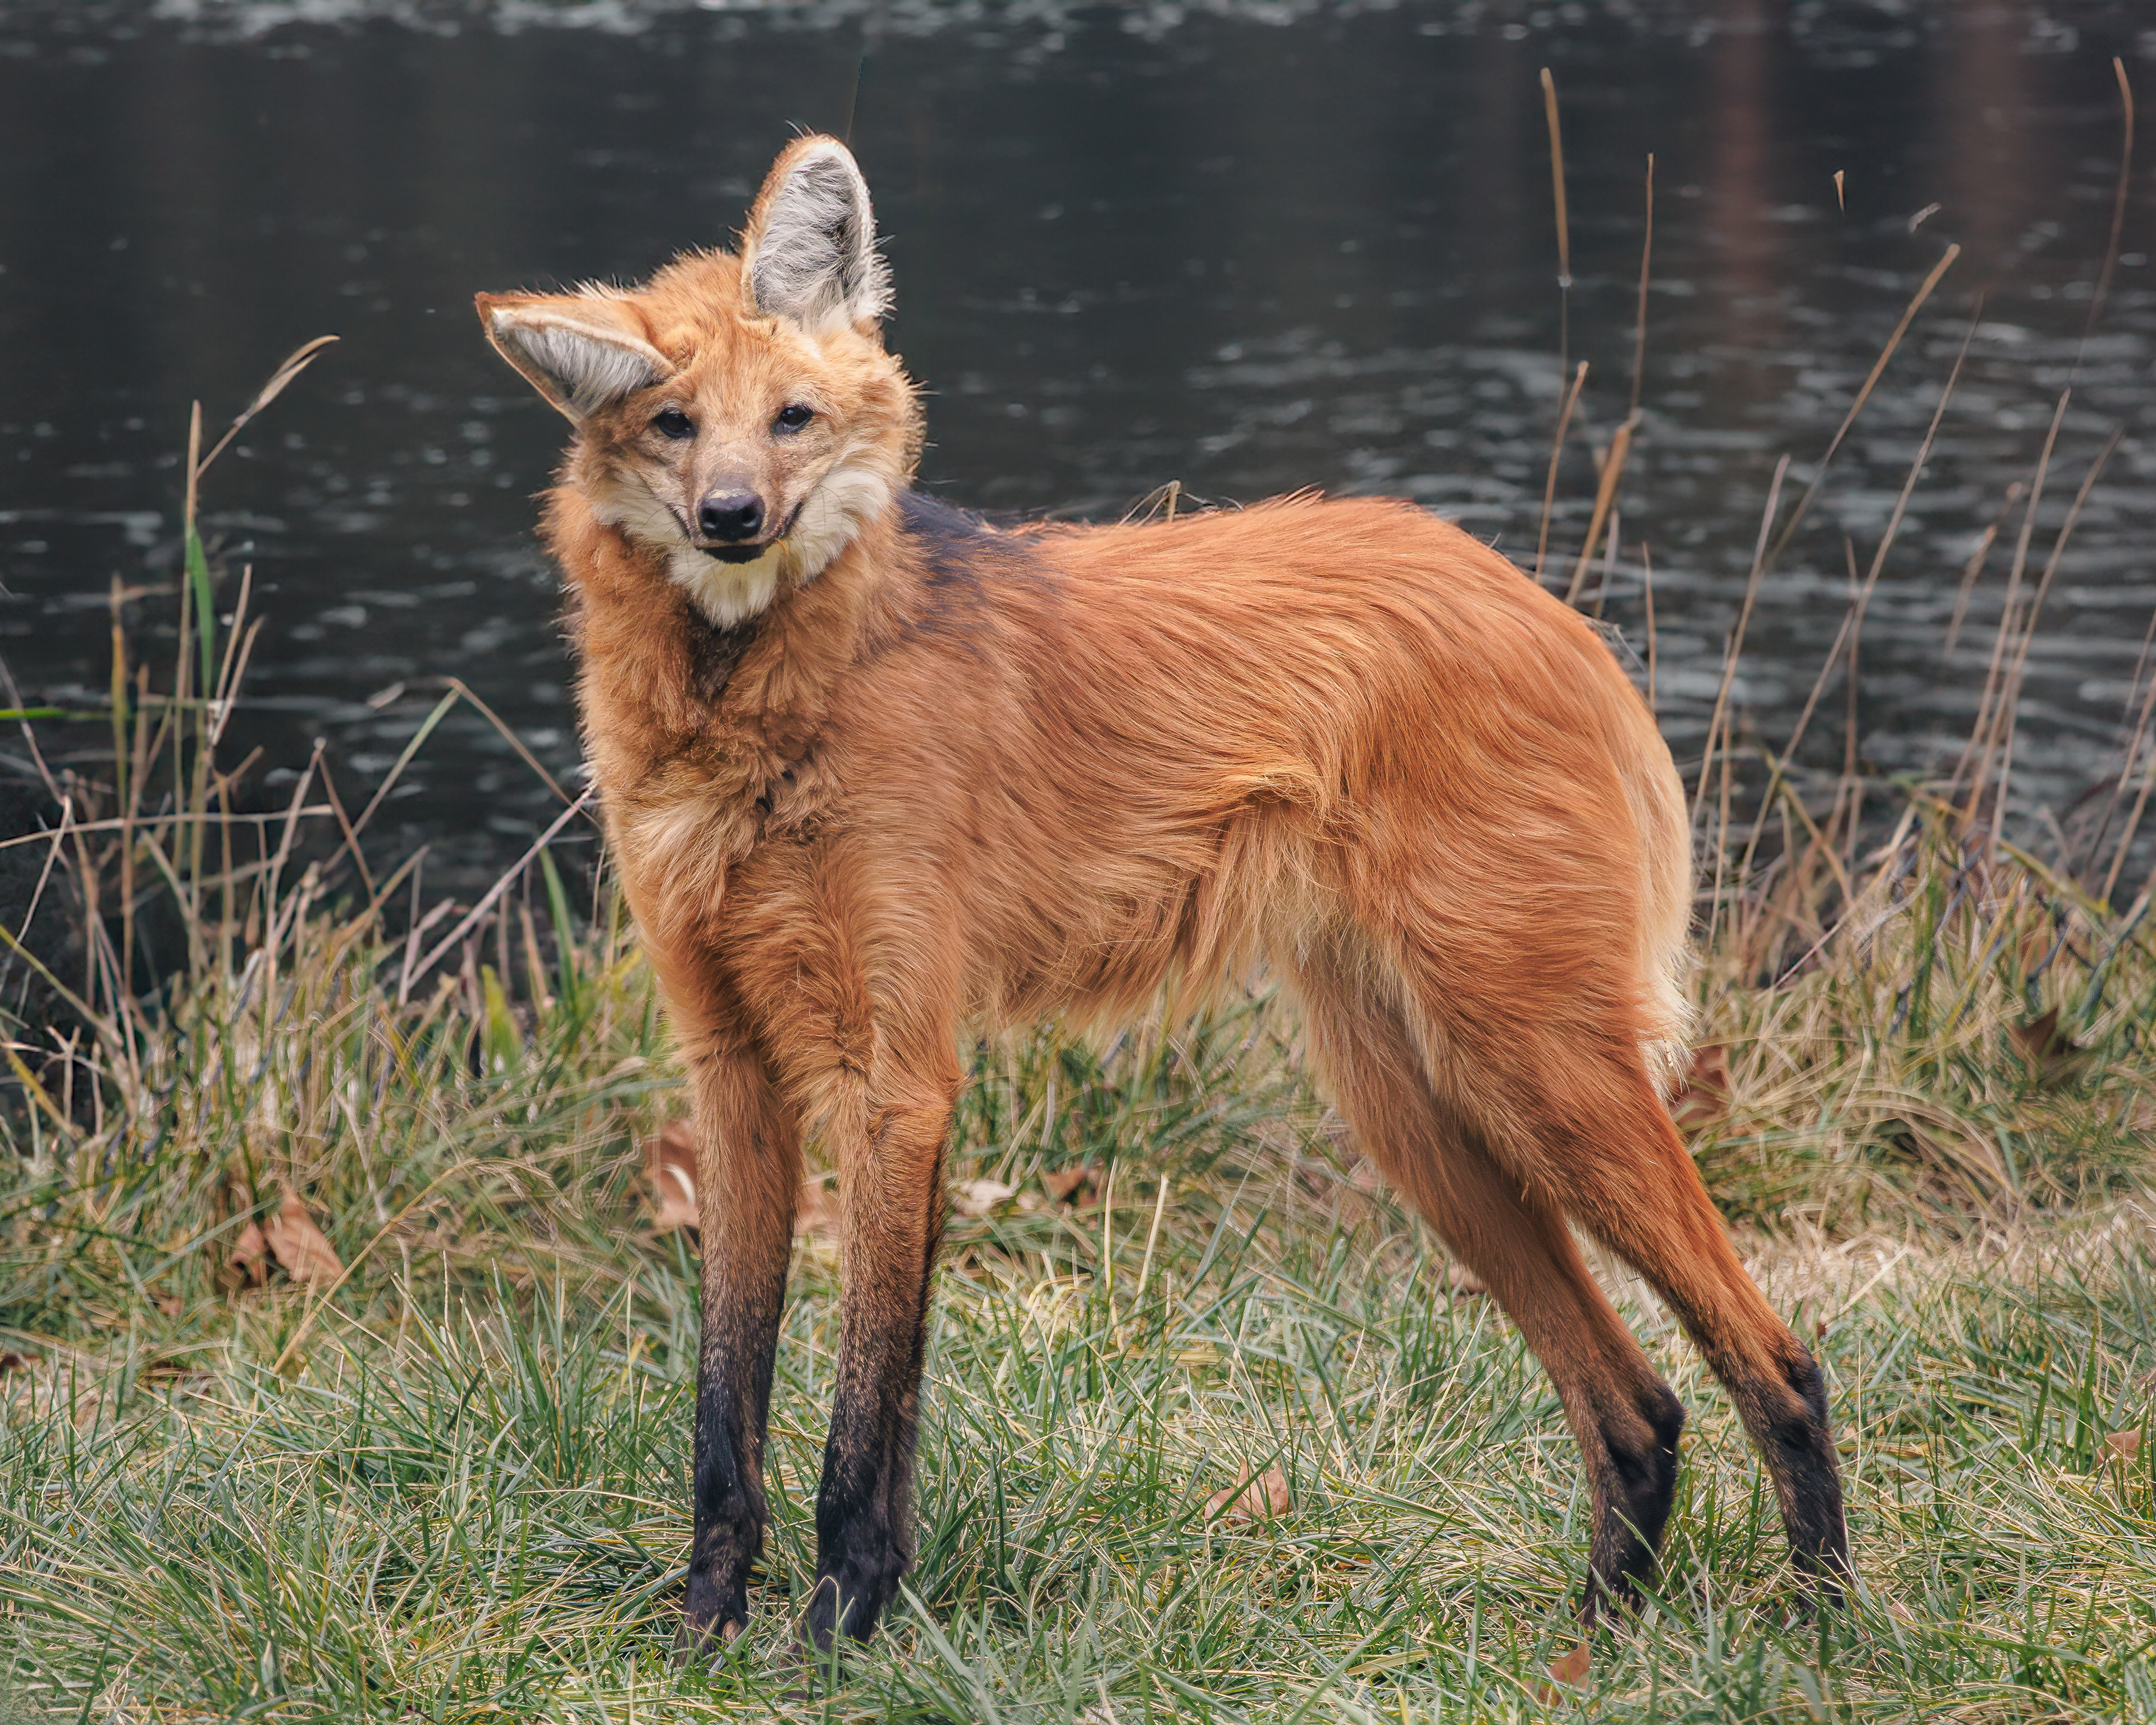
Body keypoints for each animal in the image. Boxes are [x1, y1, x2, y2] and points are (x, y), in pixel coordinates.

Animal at [476, 134, 1848, 1656]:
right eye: (672, 425)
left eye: (790, 419)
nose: (732, 518)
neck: (750, 706)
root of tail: (1543, 603)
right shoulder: (733, 1067)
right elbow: (731, 1402)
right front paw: (712, 1624)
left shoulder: (896, 1074)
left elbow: (861, 1410)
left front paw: (839, 1625)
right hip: (1417, 1109)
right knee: (1635, 1401)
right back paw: (1595, 1641)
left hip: (1530, 1065)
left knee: (1777, 1361)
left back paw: (1819, 1624)